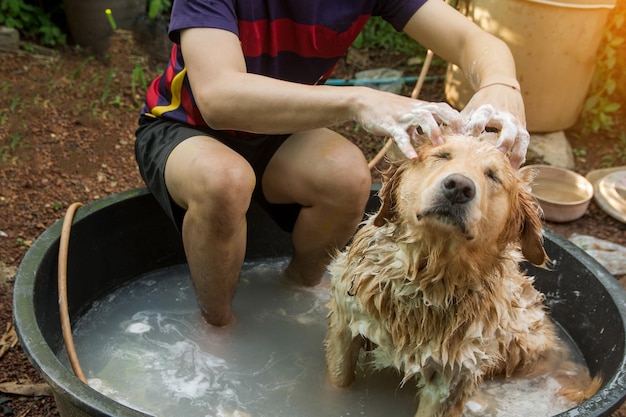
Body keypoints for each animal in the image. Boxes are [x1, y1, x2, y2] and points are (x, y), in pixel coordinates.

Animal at [324, 132, 596, 416]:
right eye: (441, 155)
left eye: (493, 176)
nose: (458, 187)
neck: (425, 277)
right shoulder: (345, 324)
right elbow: (338, 380)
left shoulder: (452, 376)